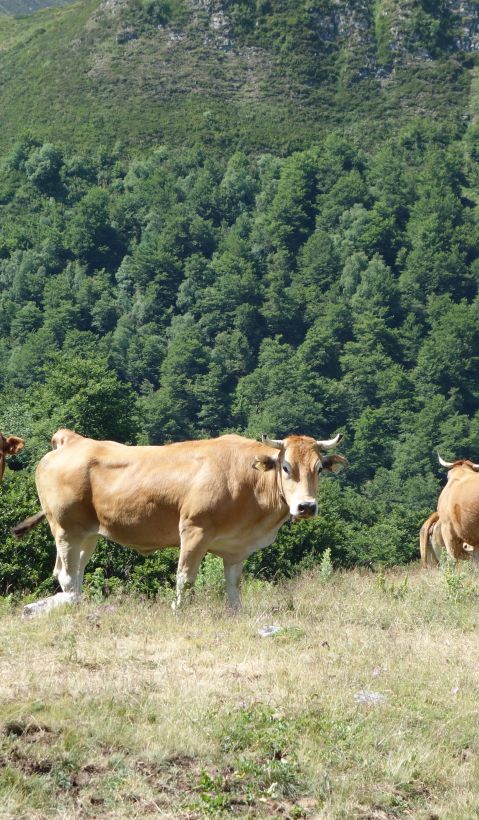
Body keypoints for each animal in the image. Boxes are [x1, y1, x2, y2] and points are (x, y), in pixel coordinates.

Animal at [14, 430, 347, 617]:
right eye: (287, 467)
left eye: (319, 468)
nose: (307, 506)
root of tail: (73, 440)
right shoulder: (194, 529)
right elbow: (185, 577)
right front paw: (178, 611)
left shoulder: (236, 546)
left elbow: (233, 584)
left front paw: (236, 614)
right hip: (65, 528)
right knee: (67, 577)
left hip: (87, 533)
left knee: (75, 573)